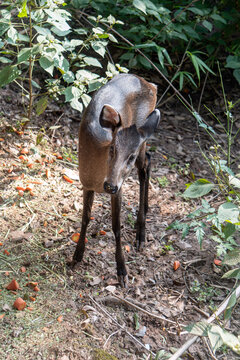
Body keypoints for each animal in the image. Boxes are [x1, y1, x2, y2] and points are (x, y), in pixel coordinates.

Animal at [72, 74, 160, 286]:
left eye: (130, 156)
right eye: (112, 149)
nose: (109, 185)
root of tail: (150, 84)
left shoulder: (119, 189)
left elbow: (116, 227)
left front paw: (122, 271)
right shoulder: (85, 182)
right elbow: (85, 218)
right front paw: (77, 256)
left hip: (144, 137)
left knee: (145, 166)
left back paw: (141, 234)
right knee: (149, 160)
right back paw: (145, 210)